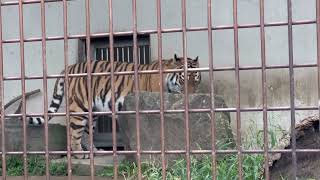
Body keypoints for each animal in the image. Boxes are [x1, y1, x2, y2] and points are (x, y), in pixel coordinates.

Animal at [28, 53, 201, 159]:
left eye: (196, 80)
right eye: (183, 80)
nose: (192, 95)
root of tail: (69, 67)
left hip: (92, 112)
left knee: (86, 133)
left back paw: (95, 151)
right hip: (79, 107)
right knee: (73, 134)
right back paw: (80, 154)